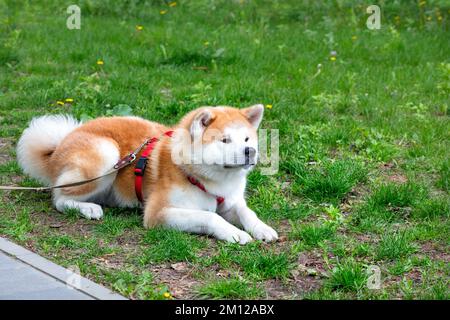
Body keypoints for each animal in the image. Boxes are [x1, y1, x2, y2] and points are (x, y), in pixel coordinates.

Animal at [16, 104, 278, 242]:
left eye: (247, 139)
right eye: (225, 140)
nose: (250, 151)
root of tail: (59, 145)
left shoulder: (231, 201)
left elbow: (247, 212)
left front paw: (262, 228)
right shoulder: (158, 213)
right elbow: (209, 217)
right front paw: (235, 233)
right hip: (106, 153)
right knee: (59, 198)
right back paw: (87, 208)